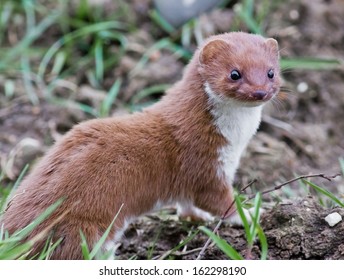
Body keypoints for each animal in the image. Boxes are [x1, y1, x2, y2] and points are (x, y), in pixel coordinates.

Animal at [0, 31, 280, 260]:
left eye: (271, 72)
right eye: (234, 73)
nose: (260, 92)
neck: (236, 142)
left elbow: (188, 204)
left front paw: (198, 217)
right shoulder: (204, 162)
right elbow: (217, 199)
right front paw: (251, 215)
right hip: (82, 230)